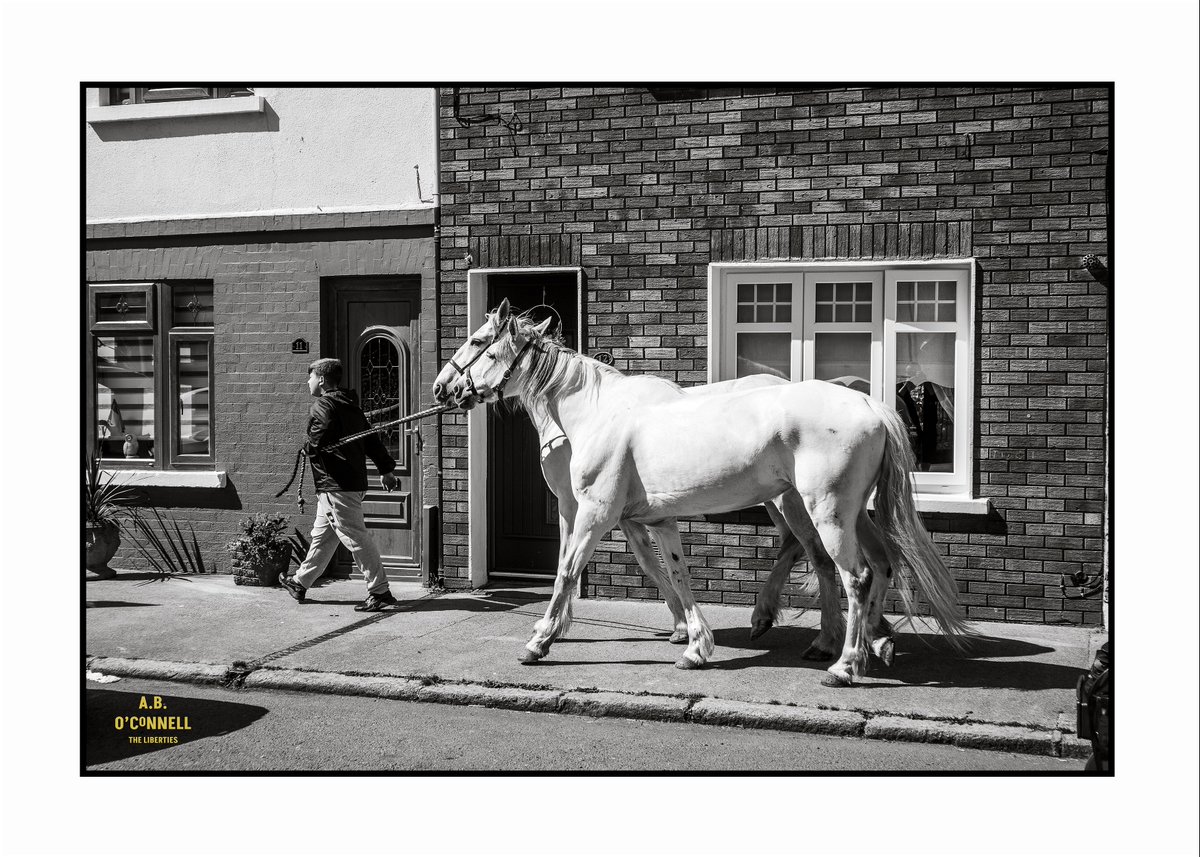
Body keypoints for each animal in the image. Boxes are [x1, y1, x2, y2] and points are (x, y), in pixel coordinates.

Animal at [442, 305, 969, 684]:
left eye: (478, 341)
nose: (443, 387)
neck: (597, 412)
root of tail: (868, 402)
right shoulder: (655, 521)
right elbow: (674, 574)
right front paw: (695, 645)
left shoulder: (592, 513)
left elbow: (568, 572)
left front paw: (541, 641)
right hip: (851, 512)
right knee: (877, 563)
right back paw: (871, 642)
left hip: (825, 511)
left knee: (851, 573)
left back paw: (843, 663)